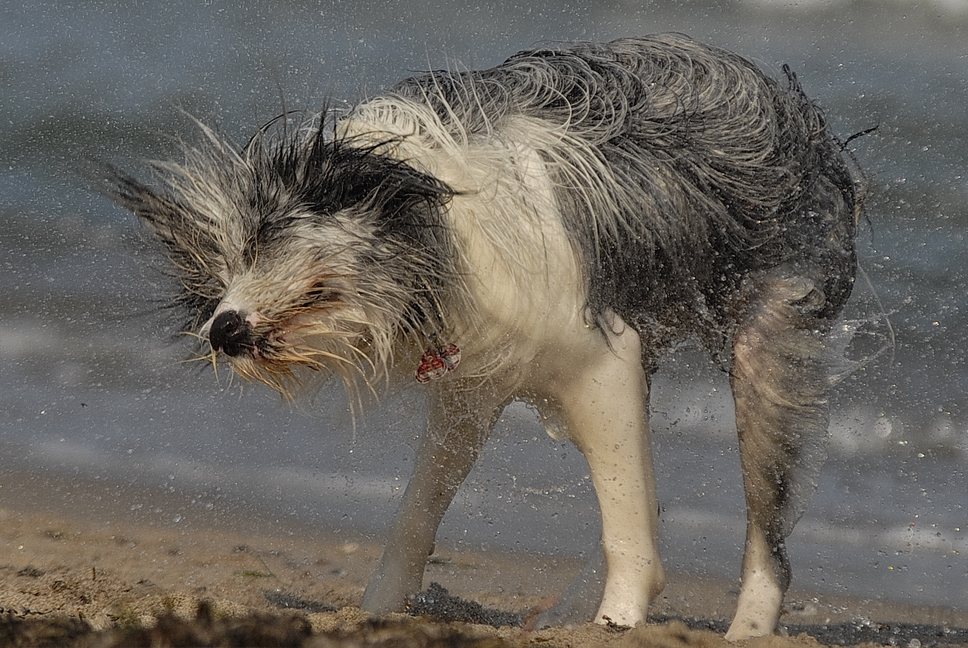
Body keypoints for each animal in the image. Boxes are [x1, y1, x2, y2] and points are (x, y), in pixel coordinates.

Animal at [104, 36, 864, 644]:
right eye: (216, 271)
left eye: (265, 238)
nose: (222, 329)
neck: (437, 232)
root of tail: (791, 109)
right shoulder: (469, 389)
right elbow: (418, 512)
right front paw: (375, 611)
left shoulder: (602, 361)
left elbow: (628, 531)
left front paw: (618, 618)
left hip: (767, 351)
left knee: (769, 538)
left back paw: (746, 626)